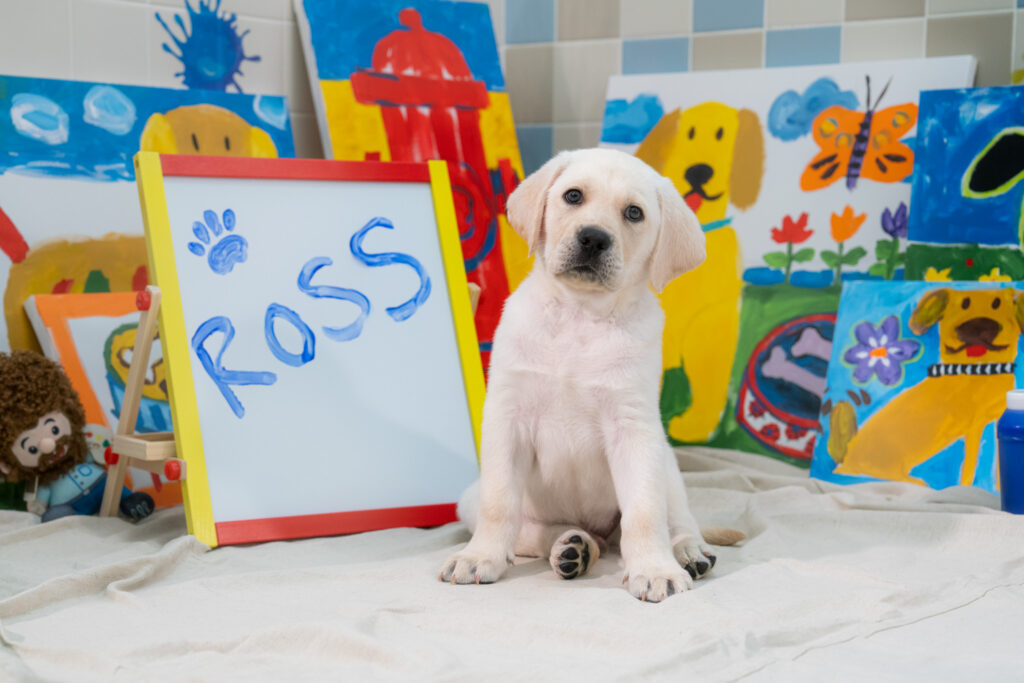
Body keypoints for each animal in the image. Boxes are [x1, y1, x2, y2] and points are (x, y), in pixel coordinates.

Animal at [634, 102, 765, 444]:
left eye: (721, 134)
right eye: (689, 132)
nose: (698, 172)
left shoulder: (713, 330)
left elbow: (708, 386)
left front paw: (693, 426)